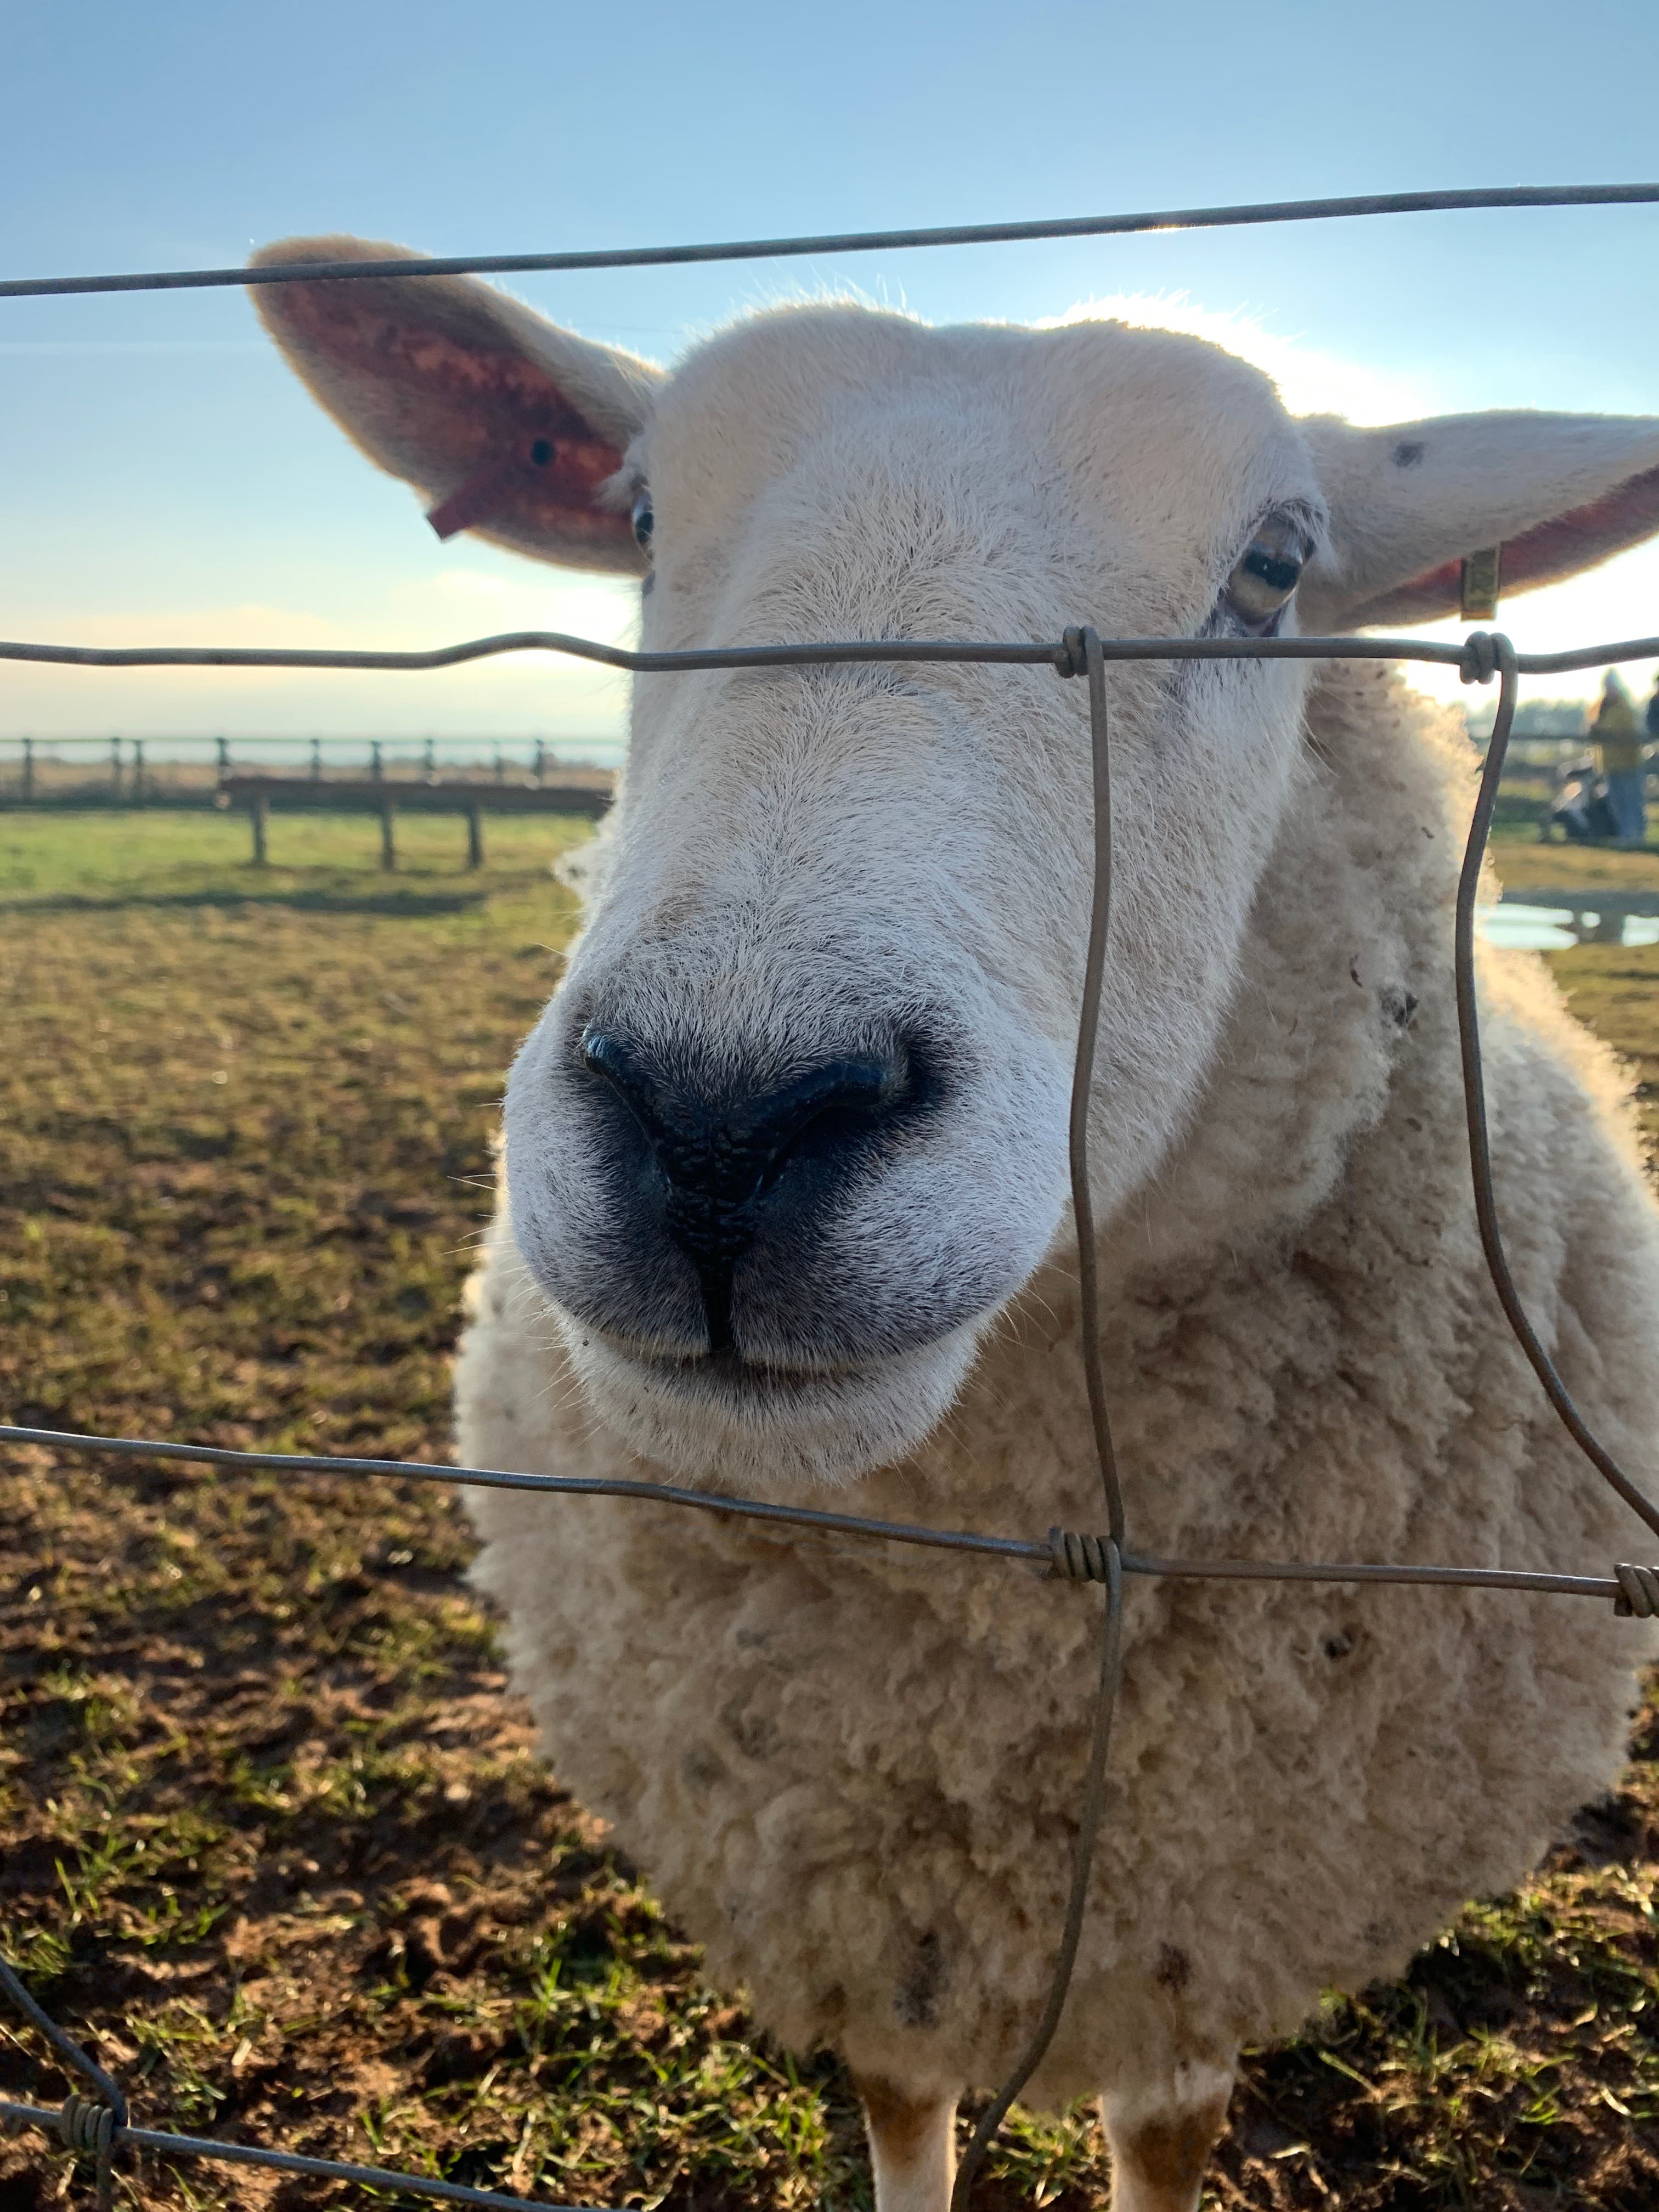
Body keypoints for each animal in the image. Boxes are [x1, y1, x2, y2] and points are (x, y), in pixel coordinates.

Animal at [253, 235, 1659, 2212]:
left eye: (1273, 566)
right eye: (643, 520)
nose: (721, 1124)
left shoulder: (1192, 1911)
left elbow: (1167, 2134)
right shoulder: (858, 1897)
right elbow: (898, 2107)